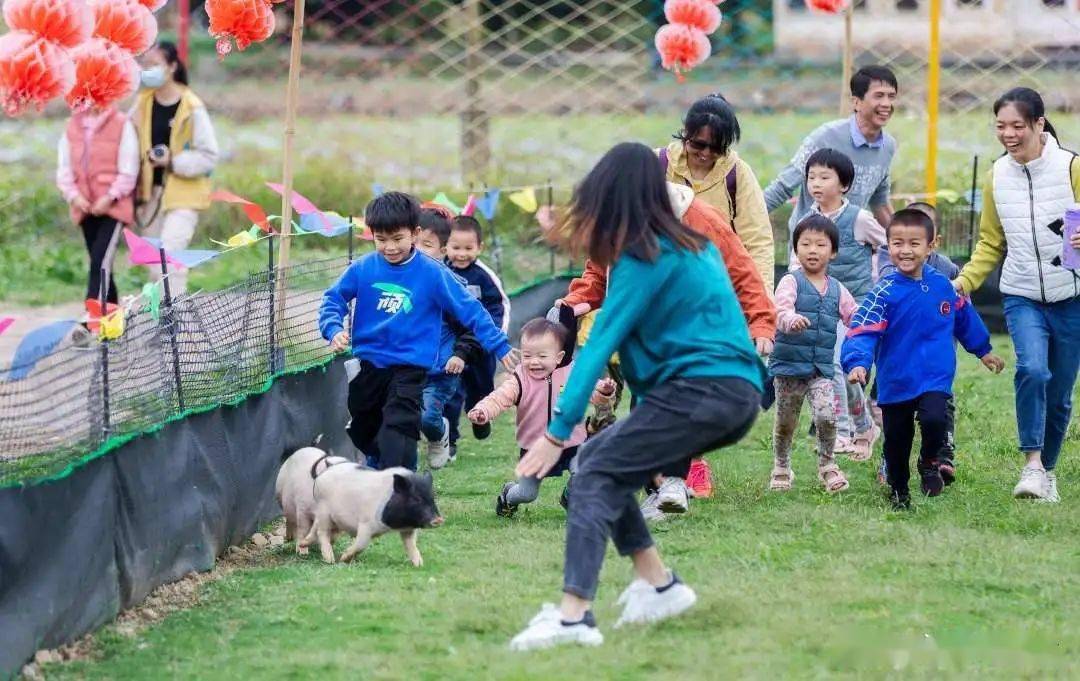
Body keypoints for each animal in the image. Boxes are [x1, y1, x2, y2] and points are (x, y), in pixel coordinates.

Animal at [295, 464, 442, 569]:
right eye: (416, 499)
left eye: (432, 497)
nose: (438, 519)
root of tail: (321, 475)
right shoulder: (366, 525)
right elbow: (361, 544)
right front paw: (343, 559)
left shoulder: (408, 530)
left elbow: (411, 545)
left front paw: (419, 565)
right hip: (324, 512)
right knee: (322, 533)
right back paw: (330, 560)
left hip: (327, 517)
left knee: (315, 530)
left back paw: (303, 545)